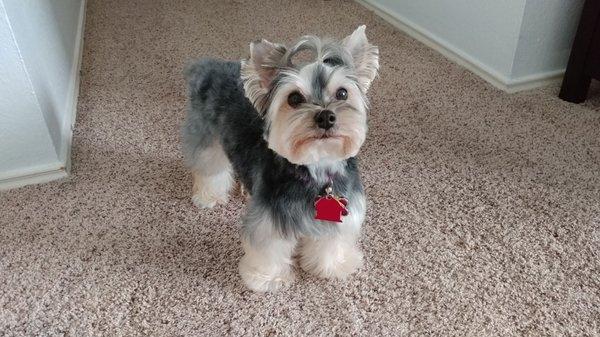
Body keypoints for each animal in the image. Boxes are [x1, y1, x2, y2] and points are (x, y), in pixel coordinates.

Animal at [183, 25, 380, 292]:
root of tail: (210, 67)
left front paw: (331, 266)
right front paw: (268, 278)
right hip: (208, 138)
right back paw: (208, 196)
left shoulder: (341, 214)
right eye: (294, 98)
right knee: (210, 168)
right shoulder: (270, 221)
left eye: (342, 93)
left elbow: (331, 242)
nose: (326, 116)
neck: (316, 168)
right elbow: (269, 248)